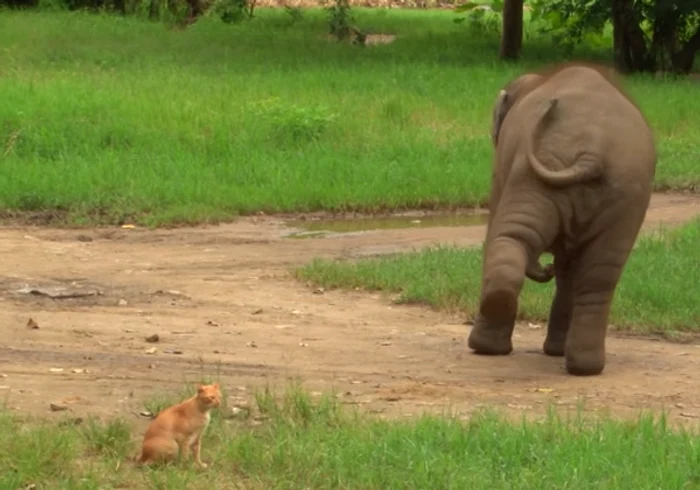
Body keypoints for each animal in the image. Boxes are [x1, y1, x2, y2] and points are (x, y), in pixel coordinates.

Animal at [468, 62, 660, 376]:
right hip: (625, 196)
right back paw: (585, 367)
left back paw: (484, 347)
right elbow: (570, 269)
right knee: (598, 276)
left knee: (509, 239)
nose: (545, 268)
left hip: (538, 174)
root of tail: (592, 152)